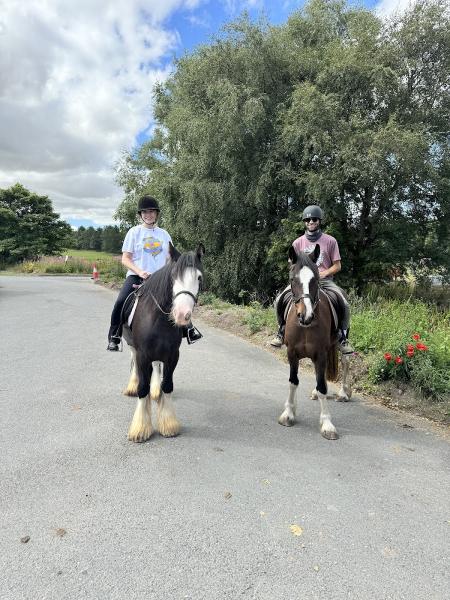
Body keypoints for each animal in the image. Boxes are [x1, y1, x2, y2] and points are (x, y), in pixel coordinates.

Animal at [278, 245, 352, 440]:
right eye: (292, 279)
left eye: (316, 279)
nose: (306, 315)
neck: (305, 326)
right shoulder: (292, 353)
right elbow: (293, 381)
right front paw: (289, 413)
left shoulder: (320, 354)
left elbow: (322, 387)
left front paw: (327, 424)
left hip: (340, 343)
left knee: (345, 361)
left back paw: (343, 393)